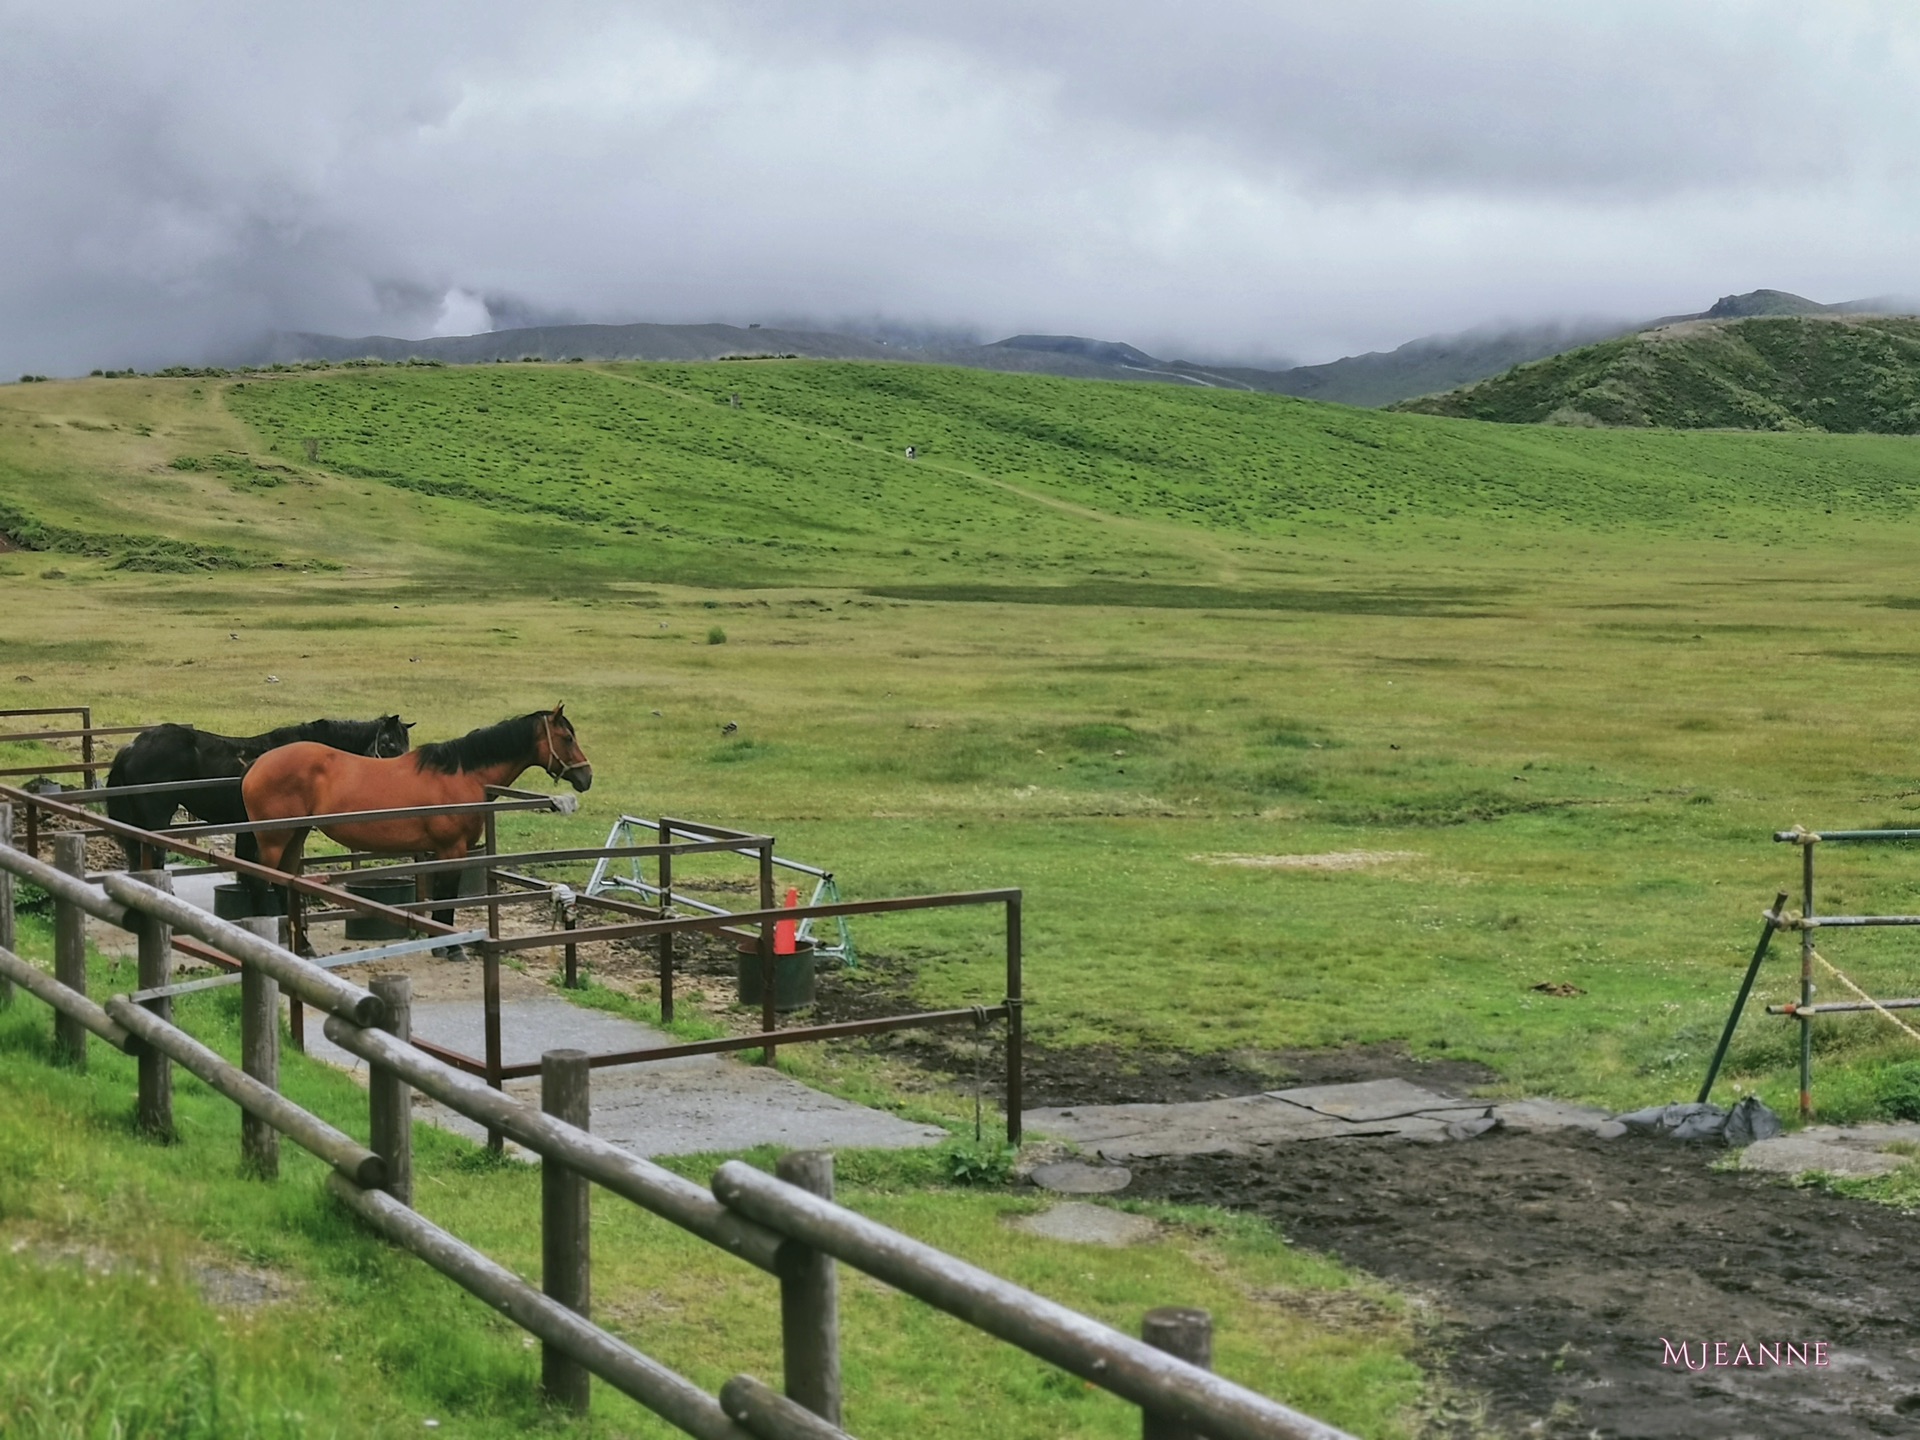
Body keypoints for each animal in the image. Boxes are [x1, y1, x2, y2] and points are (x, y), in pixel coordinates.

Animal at [243, 706, 595, 952]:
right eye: (567, 738)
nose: (586, 777)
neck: (461, 774)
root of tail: (257, 765)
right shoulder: (452, 849)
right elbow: (447, 897)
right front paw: (450, 948)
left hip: (295, 835)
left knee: (285, 882)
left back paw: (304, 945)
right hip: (274, 839)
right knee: (261, 883)